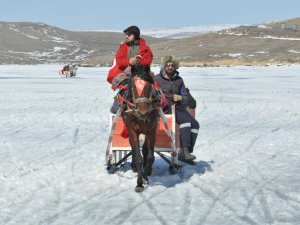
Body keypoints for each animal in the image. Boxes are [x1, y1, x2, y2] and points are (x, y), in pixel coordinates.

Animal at [123, 64, 159, 192]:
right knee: (134, 149)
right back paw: (134, 166)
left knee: (144, 150)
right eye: (133, 86)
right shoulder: (133, 131)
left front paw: (147, 172)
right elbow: (139, 157)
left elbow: (149, 156)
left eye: (149, 84)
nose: (142, 111)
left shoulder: (151, 130)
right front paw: (139, 183)